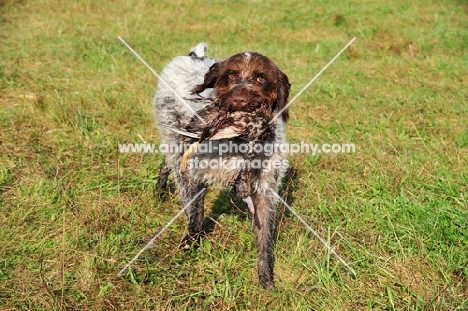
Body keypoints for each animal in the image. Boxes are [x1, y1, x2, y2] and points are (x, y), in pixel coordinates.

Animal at [154, 42, 290, 288]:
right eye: (231, 75)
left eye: (260, 78)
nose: (239, 100)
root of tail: (192, 56)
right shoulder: (194, 175)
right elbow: (195, 215)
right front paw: (189, 242)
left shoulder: (265, 190)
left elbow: (265, 237)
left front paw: (266, 279)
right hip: (174, 138)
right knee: (171, 163)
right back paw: (160, 191)